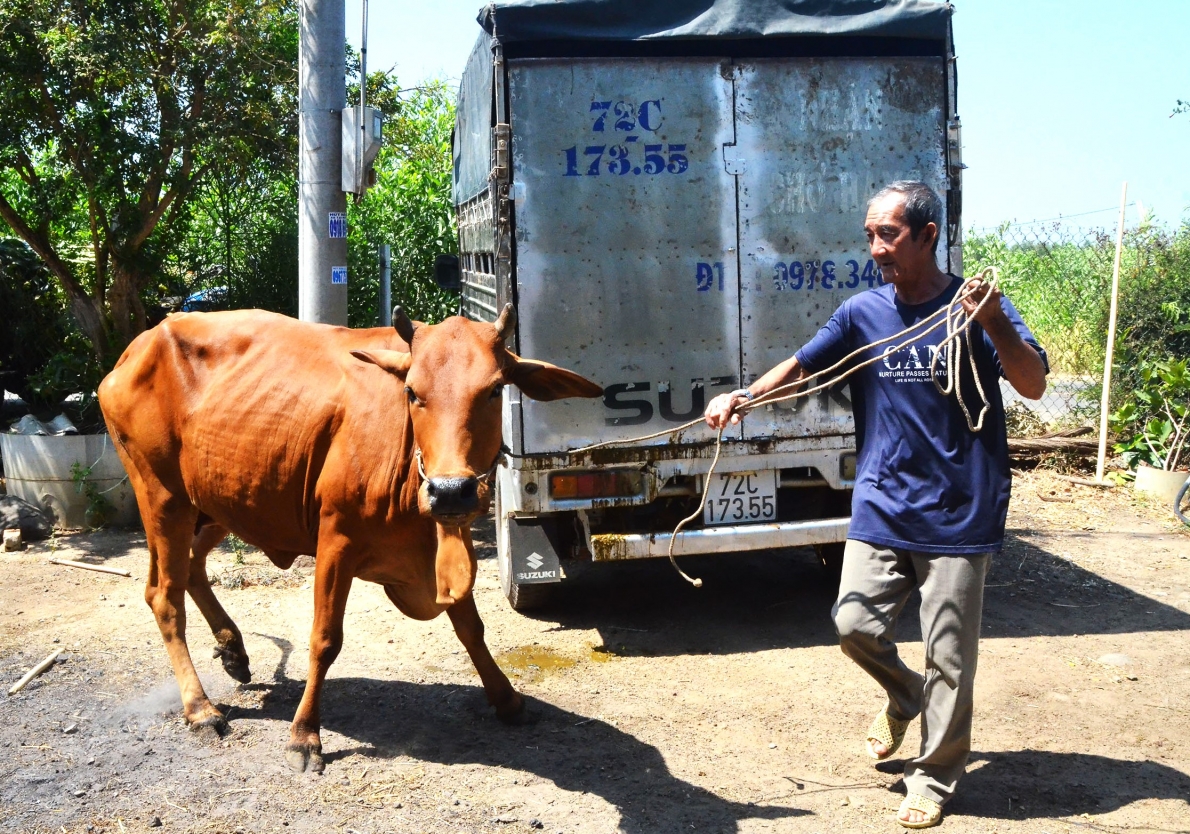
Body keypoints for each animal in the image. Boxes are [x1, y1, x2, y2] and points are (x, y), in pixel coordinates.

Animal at [99, 302, 604, 770]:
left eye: (496, 389)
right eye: (411, 391)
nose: (449, 490)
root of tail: (139, 344)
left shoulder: (446, 544)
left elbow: (471, 628)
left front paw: (506, 698)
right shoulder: (335, 540)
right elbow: (325, 639)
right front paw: (304, 735)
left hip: (222, 499)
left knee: (190, 568)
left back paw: (233, 649)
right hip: (163, 496)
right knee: (165, 595)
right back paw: (200, 708)